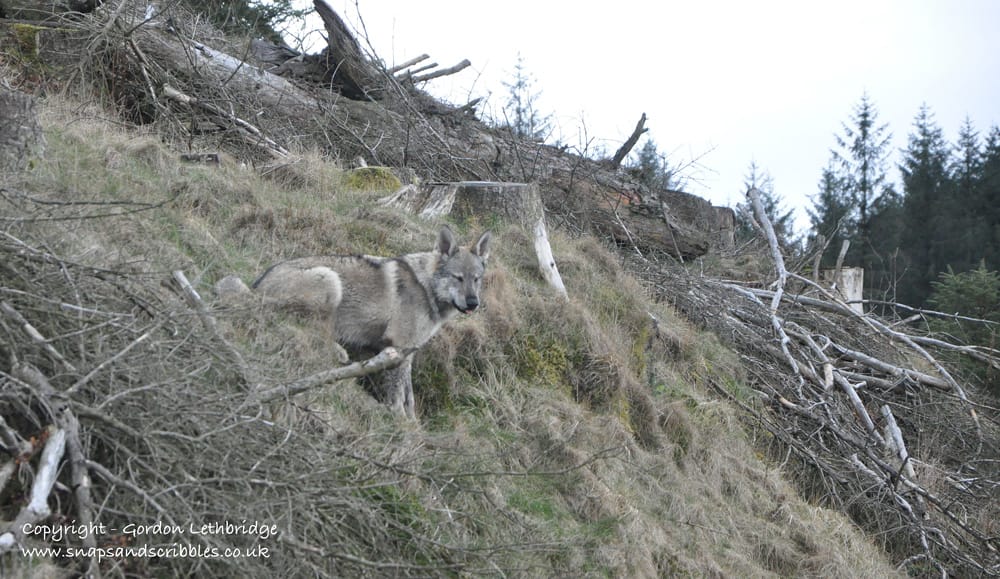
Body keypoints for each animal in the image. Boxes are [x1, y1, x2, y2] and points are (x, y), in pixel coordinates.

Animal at [217, 224, 490, 420]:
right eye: (458, 278)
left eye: (476, 279)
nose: (473, 303)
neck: (427, 288)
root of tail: (258, 285)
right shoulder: (397, 346)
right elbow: (398, 393)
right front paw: (399, 420)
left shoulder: (407, 352)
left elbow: (409, 395)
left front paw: (413, 425)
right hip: (330, 281)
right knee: (305, 327)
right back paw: (338, 353)